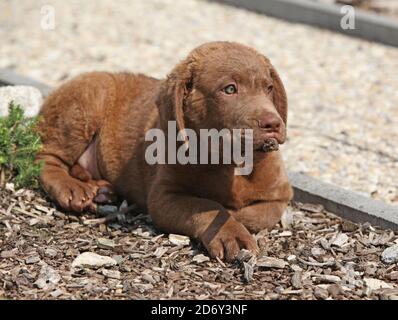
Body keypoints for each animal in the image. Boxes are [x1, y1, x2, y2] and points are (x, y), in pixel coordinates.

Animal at [36, 41, 292, 262]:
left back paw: (101, 191)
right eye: (229, 89)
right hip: (88, 101)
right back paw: (70, 188)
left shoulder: (280, 195)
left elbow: (259, 215)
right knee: (47, 158)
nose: (273, 123)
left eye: (269, 88)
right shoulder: (164, 197)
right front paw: (231, 231)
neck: (231, 161)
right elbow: (205, 206)